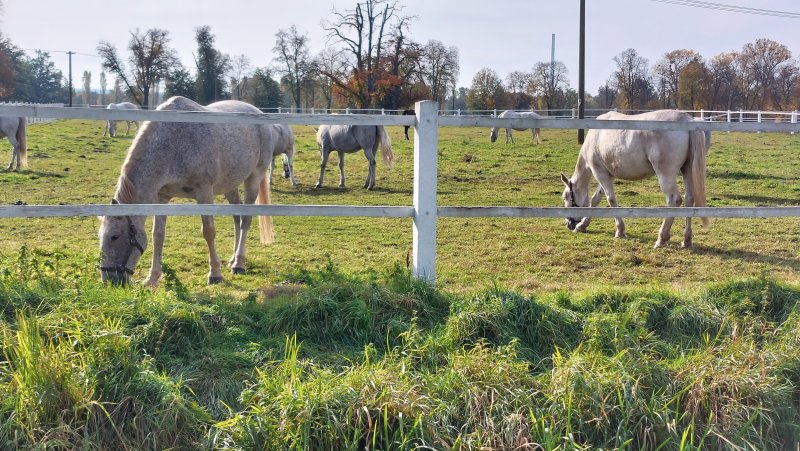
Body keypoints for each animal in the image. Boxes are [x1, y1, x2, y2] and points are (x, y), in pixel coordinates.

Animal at [560, 111, 708, 249]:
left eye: (566, 196)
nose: (569, 224)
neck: (594, 137)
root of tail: (687, 119)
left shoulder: (599, 173)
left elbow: (610, 199)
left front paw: (620, 231)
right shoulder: (608, 175)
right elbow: (596, 199)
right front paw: (582, 225)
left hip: (665, 174)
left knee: (674, 200)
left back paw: (662, 238)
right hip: (687, 170)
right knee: (689, 199)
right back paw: (686, 240)